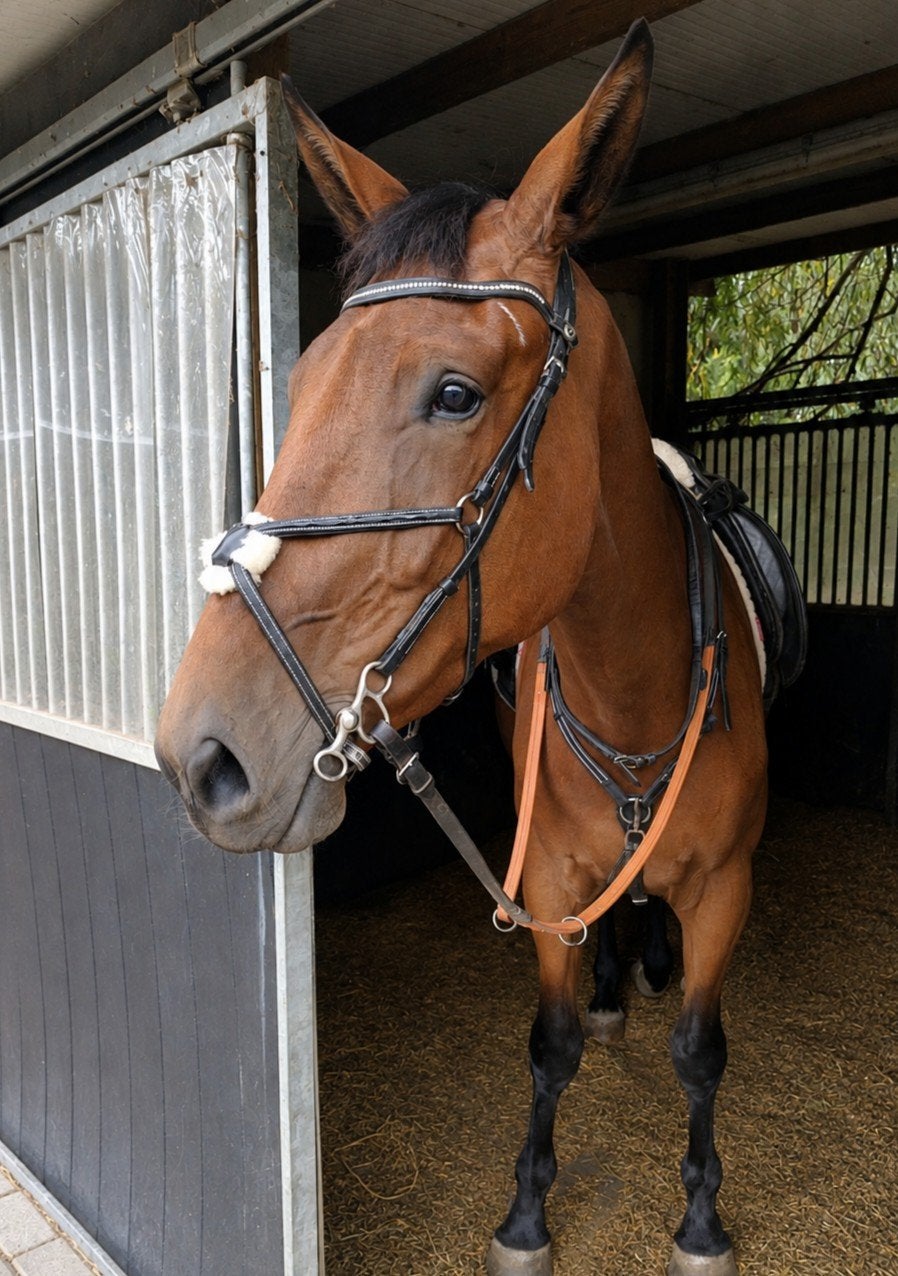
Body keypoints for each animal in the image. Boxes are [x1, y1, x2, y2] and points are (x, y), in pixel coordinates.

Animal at [155, 20, 768, 1275]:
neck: (636, 690)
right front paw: (527, 1209)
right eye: (299, 379)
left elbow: (700, 1052)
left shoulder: (728, 885)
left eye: (452, 393)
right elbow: (548, 1045)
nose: (203, 756)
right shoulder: (545, 875)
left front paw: (698, 1215)